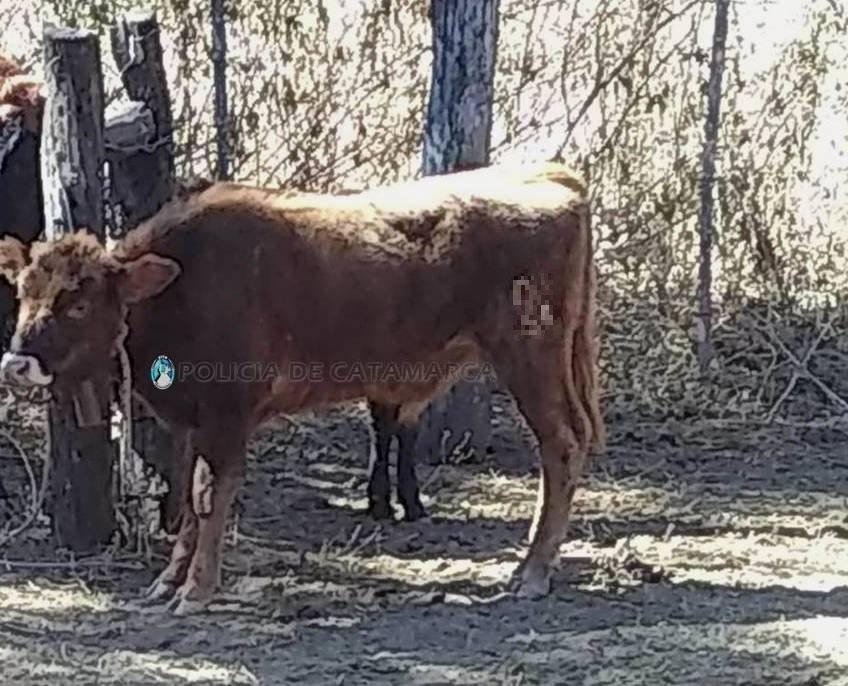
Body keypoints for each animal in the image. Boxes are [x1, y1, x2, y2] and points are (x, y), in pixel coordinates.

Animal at [0, 163, 604, 620]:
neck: (183, 284)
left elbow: (210, 496)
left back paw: (532, 572)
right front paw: (168, 581)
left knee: (562, 446)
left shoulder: (227, 418)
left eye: (79, 303)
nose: (17, 363)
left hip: (530, 359)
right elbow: (189, 498)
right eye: (24, 292)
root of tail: (547, 175)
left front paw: (196, 590)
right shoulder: (193, 423)